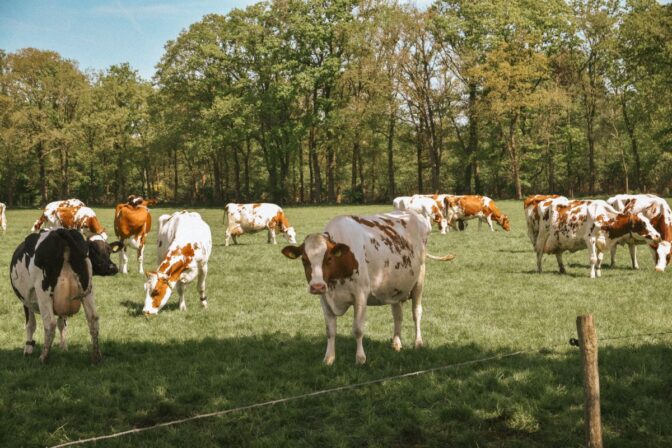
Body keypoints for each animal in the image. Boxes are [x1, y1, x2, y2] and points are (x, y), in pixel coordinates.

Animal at [9, 229, 122, 362]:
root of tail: (61, 231)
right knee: (93, 319)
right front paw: (64, 348)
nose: (113, 267)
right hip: (87, 291)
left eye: (109, 250)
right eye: (94, 250)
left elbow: (31, 325)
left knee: (50, 323)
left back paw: (43, 358)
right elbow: (62, 324)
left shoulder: (27, 300)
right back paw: (96, 357)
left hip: (43, 292)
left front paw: (28, 350)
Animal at [281, 211, 455, 365]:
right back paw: (396, 343)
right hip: (395, 288)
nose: (317, 286)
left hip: (419, 280)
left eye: (328, 258)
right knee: (397, 315)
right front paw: (329, 358)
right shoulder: (325, 298)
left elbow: (358, 329)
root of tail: (414, 214)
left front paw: (360, 358)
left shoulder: (360, 295)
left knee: (416, 313)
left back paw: (418, 343)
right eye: (304, 260)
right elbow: (330, 330)